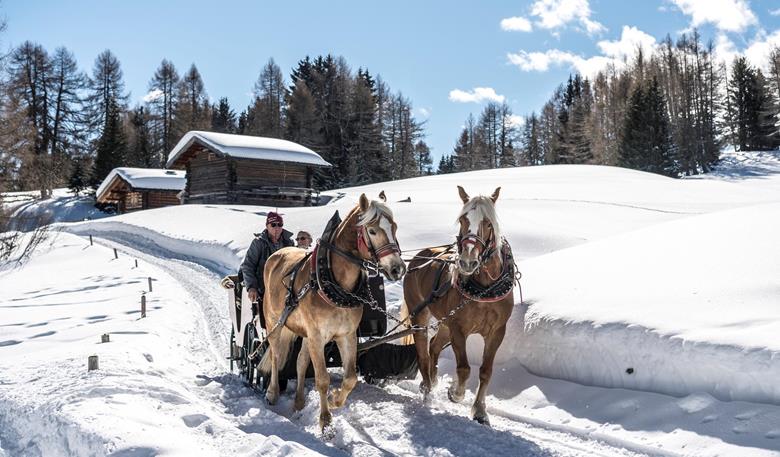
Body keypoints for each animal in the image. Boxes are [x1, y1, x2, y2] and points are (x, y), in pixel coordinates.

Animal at [262, 191, 408, 430]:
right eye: (372, 230)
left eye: (394, 227)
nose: (397, 269)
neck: (333, 282)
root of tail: (278, 254)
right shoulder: (317, 336)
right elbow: (322, 379)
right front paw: (325, 421)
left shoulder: (345, 335)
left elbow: (350, 378)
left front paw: (334, 399)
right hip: (274, 322)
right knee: (275, 356)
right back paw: (272, 393)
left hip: (304, 333)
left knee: (301, 361)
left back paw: (299, 402)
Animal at [402, 185, 516, 424]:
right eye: (463, 219)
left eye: (488, 223)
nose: (467, 262)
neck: (484, 287)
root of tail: (419, 257)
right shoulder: (458, 329)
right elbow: (463, 368)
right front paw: (455, 393)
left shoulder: (496, 332)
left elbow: (486, 371)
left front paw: (480, 411)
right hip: (420, 317)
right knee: (423, 352)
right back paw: (427, 390)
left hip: (445, 323)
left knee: (434, 346)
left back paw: (432, 381)